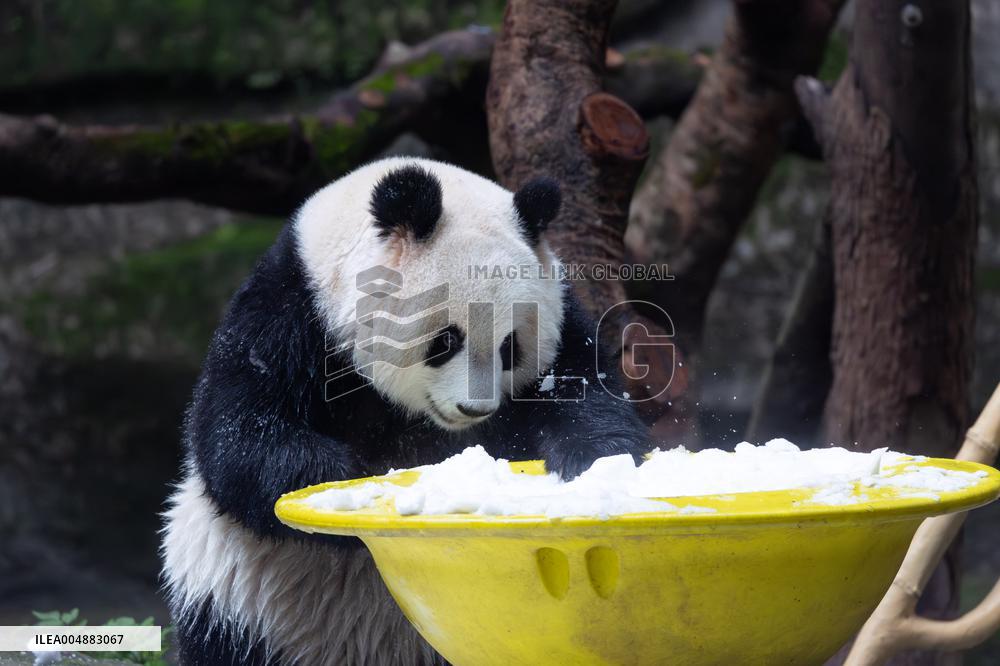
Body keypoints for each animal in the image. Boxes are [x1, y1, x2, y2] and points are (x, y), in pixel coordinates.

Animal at [161, 157, 649, 665]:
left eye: (509, 347)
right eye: (446, 340)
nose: (475, 408)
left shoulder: (562, 310)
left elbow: (583, 391)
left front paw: (594, 463)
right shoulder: (289, 310)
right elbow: (238, 437)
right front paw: (345, 480)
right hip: (244, 604)